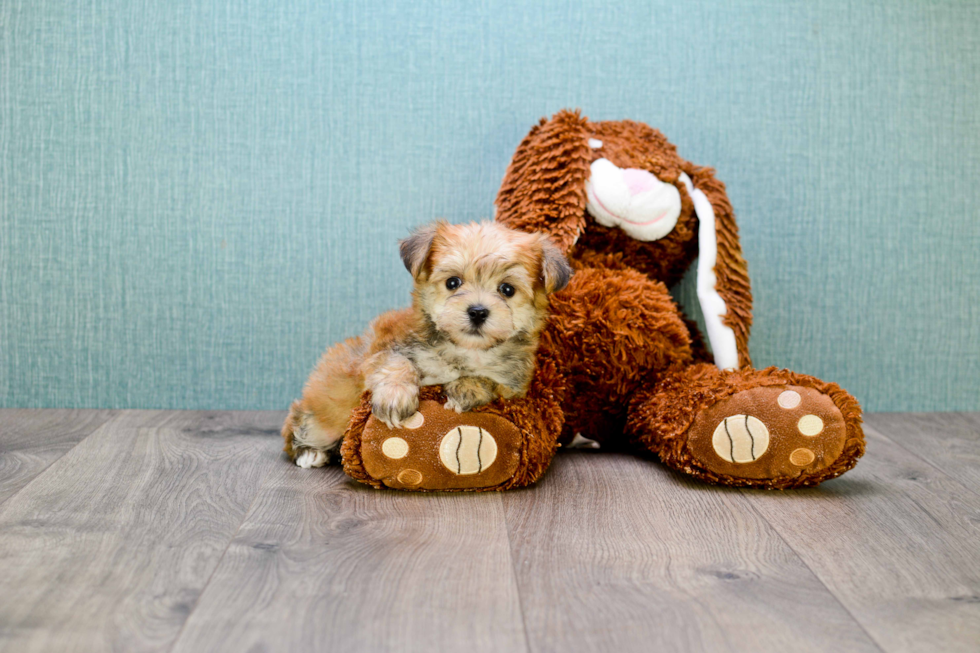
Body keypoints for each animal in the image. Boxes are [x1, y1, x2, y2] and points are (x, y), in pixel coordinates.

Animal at [282, 222, 576, 466]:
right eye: (453, 282)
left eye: (507, 289)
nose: (478, 311)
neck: (463, 348)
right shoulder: (383, 348)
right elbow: (395, 362)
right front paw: (395, 396)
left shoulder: (515, 387)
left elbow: (492, 382)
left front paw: (467, 388)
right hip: (324, 413)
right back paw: (310, 453)